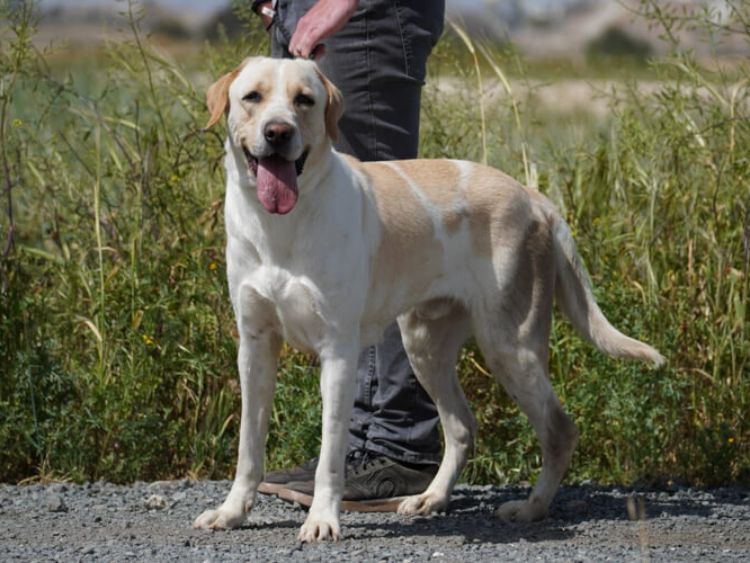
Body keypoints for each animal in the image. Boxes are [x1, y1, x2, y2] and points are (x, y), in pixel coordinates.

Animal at [194, 56, 664, 540]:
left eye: (304, 100)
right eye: (252, 97)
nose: (278, 132)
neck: (281, 227)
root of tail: (533, 198)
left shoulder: (338, 352)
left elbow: (330, 455)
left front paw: (322, 518)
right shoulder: (255, 346)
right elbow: (248, 447)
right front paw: (232, 512)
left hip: (510, 346)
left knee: (559, 430)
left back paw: (531, 508)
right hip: (425, 345)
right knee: (461, 426)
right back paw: (431, 498)